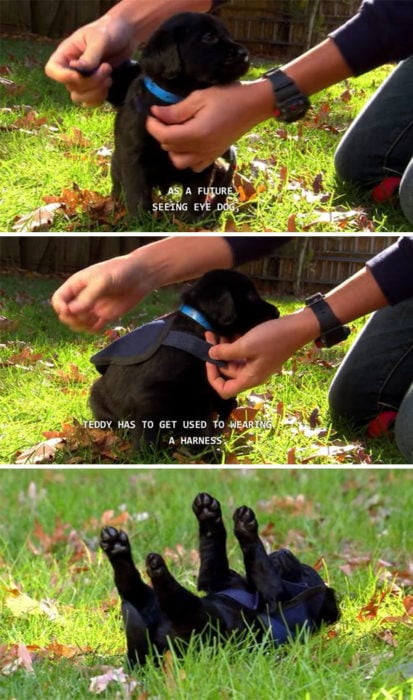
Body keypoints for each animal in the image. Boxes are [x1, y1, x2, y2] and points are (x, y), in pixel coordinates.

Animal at [89, 270, 278, 452]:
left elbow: (206, 424)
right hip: (98, 395)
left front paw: (206, 451)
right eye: (251, 296)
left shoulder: (205, 395)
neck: (200, 326)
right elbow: (148, 428)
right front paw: (145, 454)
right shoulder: (152, 394)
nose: (277, 313)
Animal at [100, 492, 338, 668]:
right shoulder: (217, 576)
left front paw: (245, 528)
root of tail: (154, 656)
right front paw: (208, 515)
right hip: (151, 606)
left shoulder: (276, 596)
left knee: (173, 598)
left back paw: (156, 569)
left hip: (201, 617)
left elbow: (255, 557)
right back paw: (117, 547)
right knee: (132, 588)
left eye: (304, 571)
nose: (286, 551)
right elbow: (213, 544)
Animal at [105, 12, 248, 217]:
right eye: (209, 37)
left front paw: (188, 221)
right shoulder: (133, 156)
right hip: (116, 162)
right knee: (117, 185)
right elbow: (137, 193)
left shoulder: (202, 157)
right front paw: (140, 221)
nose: (245, 53)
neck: (178, 99)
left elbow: (195, 195)